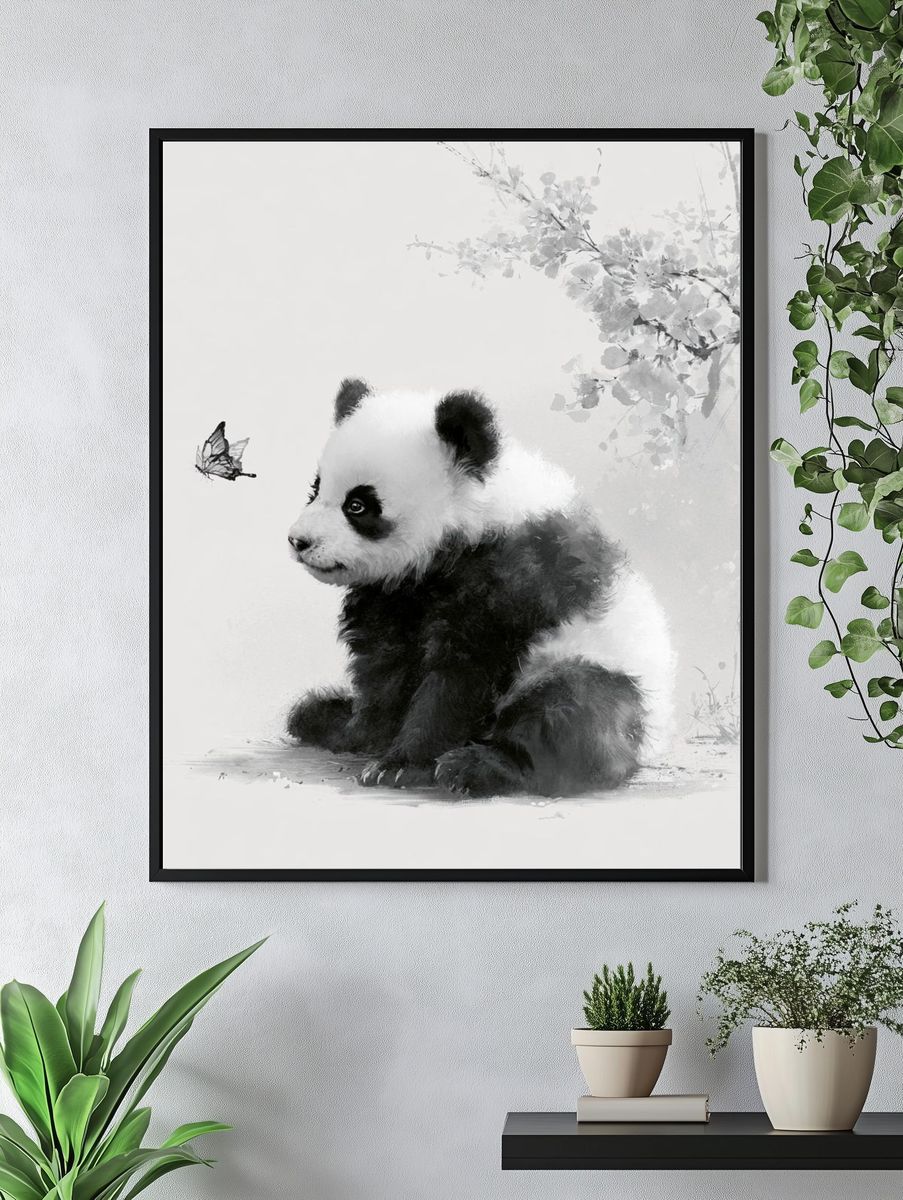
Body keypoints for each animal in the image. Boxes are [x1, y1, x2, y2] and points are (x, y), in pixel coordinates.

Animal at [286, 379, 674, 798]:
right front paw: (359, 734)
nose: (299, 541)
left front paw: (402, 765)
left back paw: (475, 767)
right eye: (315, 490)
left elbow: (463, 673)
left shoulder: (512, 575)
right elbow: (385, 667)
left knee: (567, 711)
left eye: (357, 505)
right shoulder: (395, 597)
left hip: (593, 667)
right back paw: (317, 712)